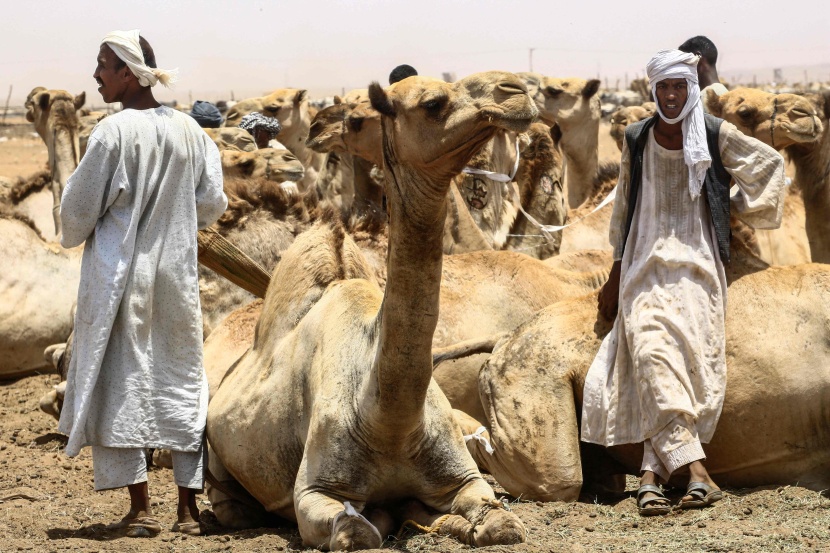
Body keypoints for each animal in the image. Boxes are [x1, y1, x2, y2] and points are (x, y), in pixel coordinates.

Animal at [205, 72, 536, 548]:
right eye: (433, 102)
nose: (516, 90)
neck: (387, 419)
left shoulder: (463, 478)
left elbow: (502, 523)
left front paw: (442, 518)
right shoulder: (316, 492)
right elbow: (357, 530)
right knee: (231, 504)